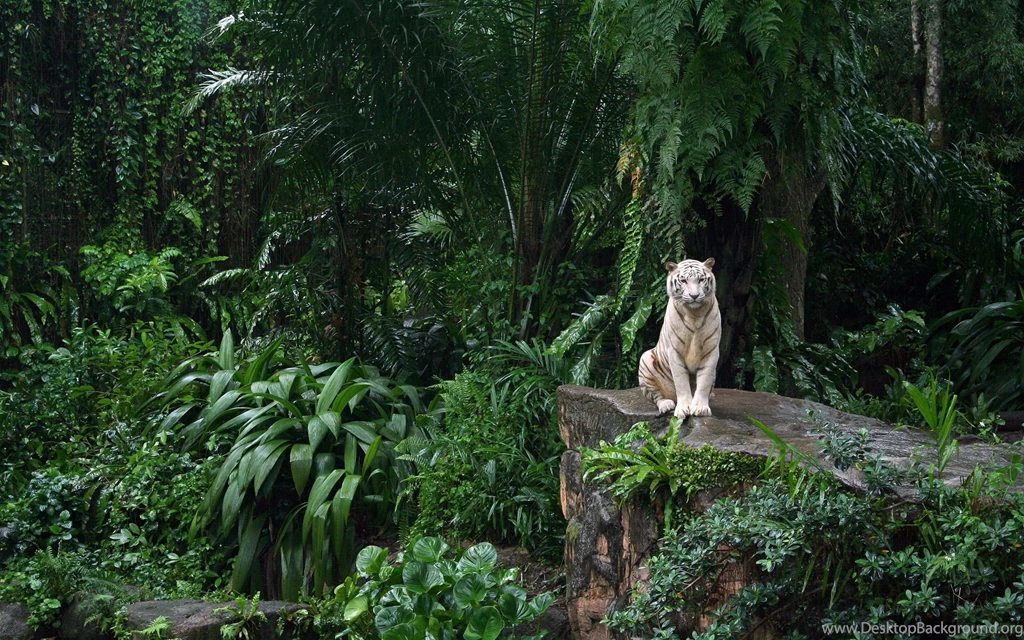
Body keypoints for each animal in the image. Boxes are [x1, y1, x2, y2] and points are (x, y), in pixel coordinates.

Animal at [638, 258, 721, 418]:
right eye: (683, 281)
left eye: (701, 279)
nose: (694, 296)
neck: (695, 314)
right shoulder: (674, 351)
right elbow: (681, 381)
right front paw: (683, 408)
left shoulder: (711, 350)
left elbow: (705, 381)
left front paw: (700, 408)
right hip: (645, 359)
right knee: (656, 396)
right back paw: (666, 405)